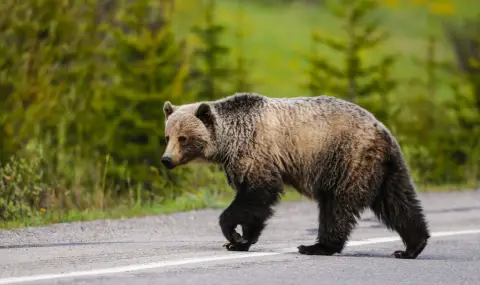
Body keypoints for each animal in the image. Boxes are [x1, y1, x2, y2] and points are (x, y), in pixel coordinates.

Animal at [161, 92, 432, 258]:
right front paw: (241, 241)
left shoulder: (256, 151)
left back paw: (317, 246)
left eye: (183, 138)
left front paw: (233, 235)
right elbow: (255, 205)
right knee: (398, 201)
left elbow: (257, 193)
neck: (229, 140)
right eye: (167, 136)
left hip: (347, 158)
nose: (166, 160)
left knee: (337, 205)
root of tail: (382, 130)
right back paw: (412, 246)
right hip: (385, 168)